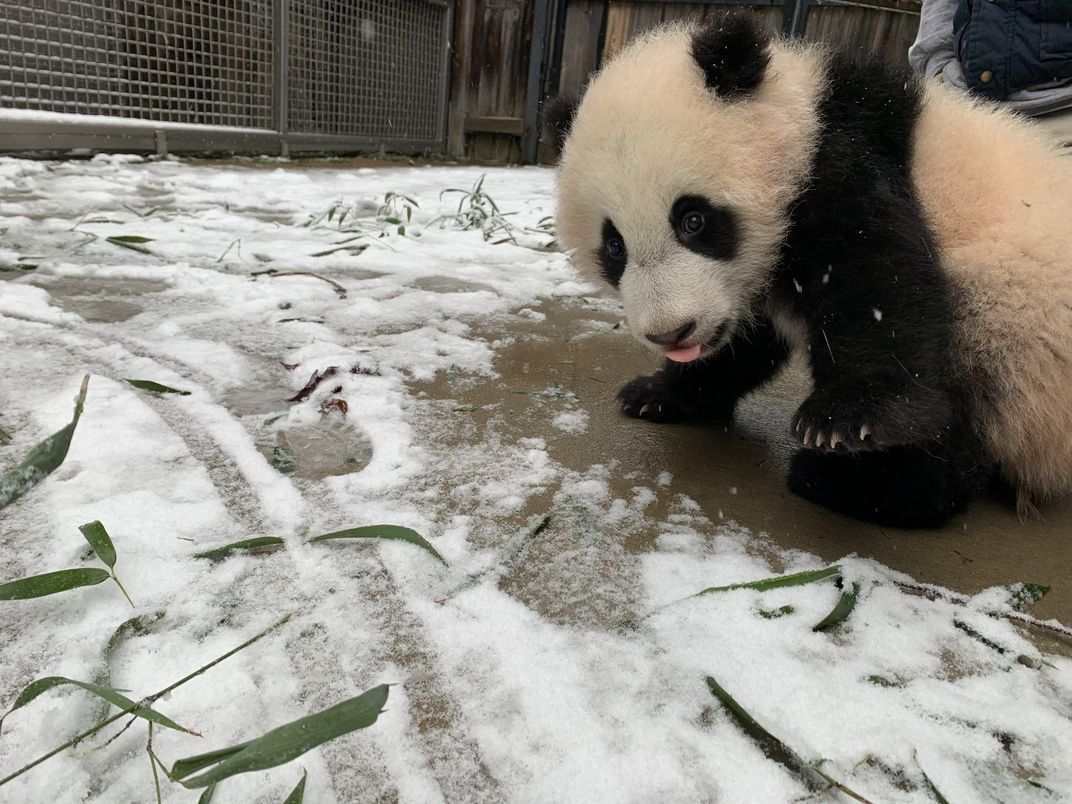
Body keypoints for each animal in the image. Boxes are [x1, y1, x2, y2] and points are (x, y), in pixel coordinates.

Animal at [553, 12, 1072, 531]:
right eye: (614, 247)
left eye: (693, 220)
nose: (672, 333)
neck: (801, 117)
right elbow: (746, 341)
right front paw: (660, 393)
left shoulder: (843, 163)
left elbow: (873, 279)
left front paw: (847, 419)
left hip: (1013, 315)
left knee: (967, 397)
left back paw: (863, 484)